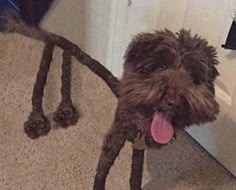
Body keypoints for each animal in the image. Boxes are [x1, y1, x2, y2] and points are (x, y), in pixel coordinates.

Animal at [92, 29, 219, 189]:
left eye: (193, 77)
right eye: (160, 68)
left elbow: (136, 172)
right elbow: (103, 166)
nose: (174, 102)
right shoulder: (116, 135)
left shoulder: (140, 145)